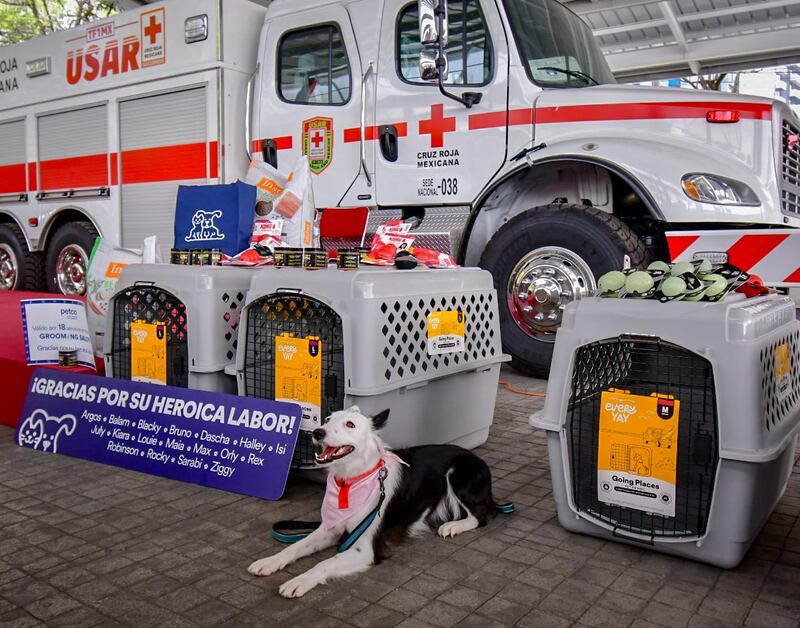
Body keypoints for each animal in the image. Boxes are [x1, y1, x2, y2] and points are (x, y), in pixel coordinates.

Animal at [247, 408, 504, 600]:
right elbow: (295, 547)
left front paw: (299, 580)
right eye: (328, 420)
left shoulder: (364, 550)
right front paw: (270, 562)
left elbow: (325, 563)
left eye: (350, 424)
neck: (352, 480)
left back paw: (454, 526)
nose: (318, 432)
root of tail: (475, 457)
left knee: (482, 516)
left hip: (457, 471)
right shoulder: (330, 529)